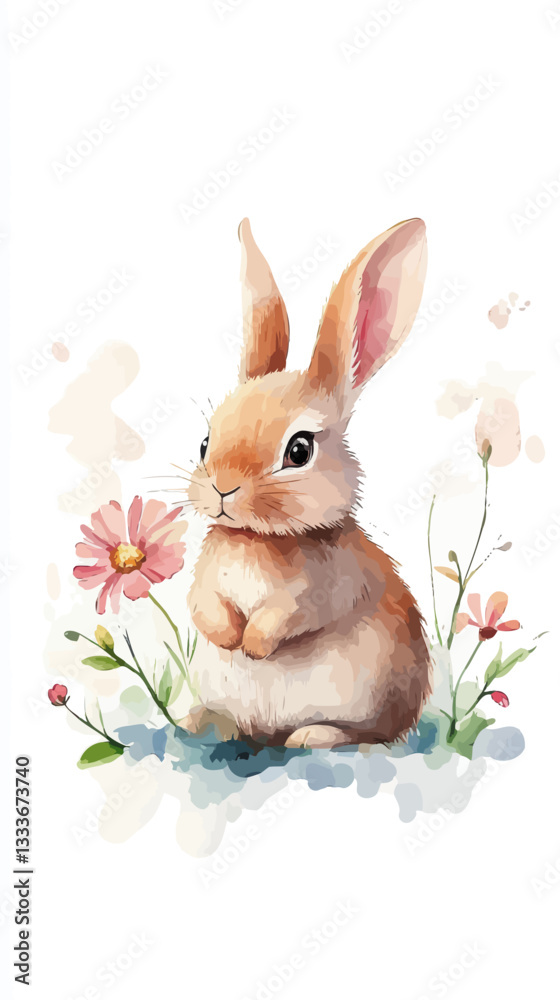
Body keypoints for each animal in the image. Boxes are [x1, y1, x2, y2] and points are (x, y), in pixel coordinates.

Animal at [182, 217, 432, 749]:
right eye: (205, 442)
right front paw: (229, 636)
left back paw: (311, 736)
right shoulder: (205, 579)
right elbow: (202, 606)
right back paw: (201, 721)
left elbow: (291, 614)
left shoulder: (322, 587)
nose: (222, 489)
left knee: (369, 735)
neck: (256, 539)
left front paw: (253, 644)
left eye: (299, 451)